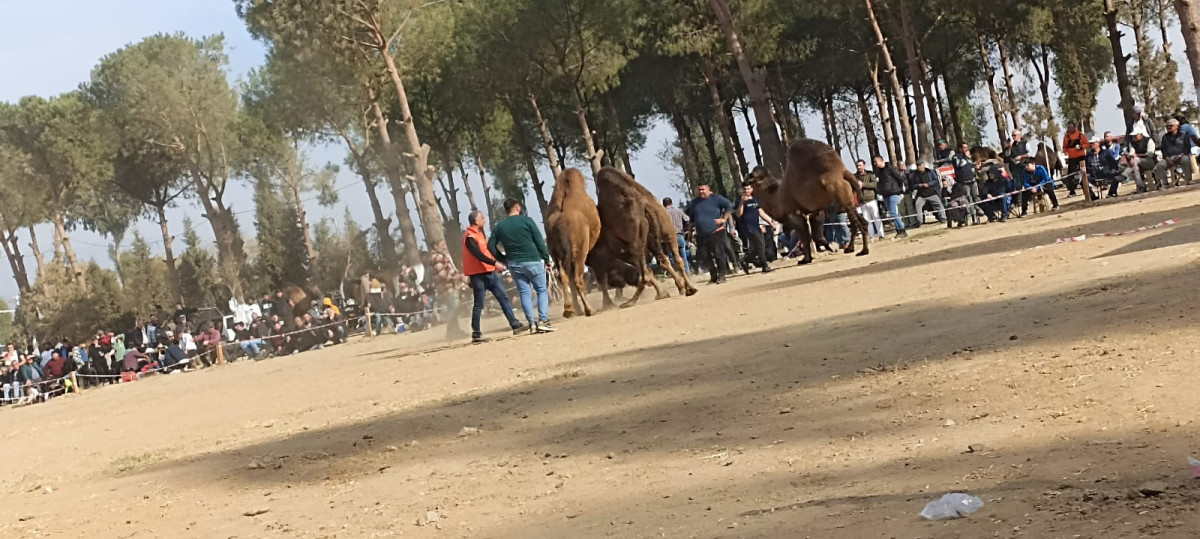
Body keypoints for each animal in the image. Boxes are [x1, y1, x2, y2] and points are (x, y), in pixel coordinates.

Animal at [544, 169, 600, 314]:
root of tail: (560, 223)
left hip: (556, 253)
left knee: (564, 277)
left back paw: (569, 309)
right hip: (579, 251)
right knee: (577, 279)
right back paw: (589, 309)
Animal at [595, 165, 700, 309]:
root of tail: (646, 206)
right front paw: (676, 288)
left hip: (636, 238)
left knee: (644, 273)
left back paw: (630, 302)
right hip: (667, 229)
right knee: (675, 259)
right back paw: (689, 289)